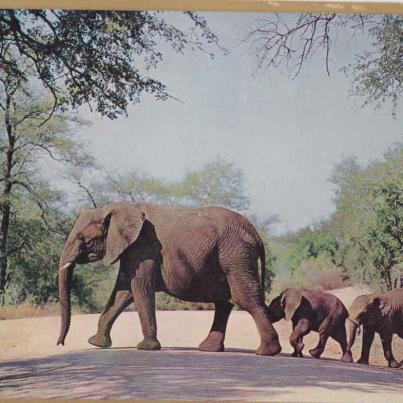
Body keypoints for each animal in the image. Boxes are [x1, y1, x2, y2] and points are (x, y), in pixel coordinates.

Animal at [56, 202, 282, 356]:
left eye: (82, 239)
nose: (60, 344)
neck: (116, 207)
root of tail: (256, 234)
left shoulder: (145, 247)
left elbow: (139, 287)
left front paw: (146, 348)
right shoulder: (131, 250)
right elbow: (123, 291)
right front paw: (95, 343)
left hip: (236, 256)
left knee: (245, 299)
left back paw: (267, 352)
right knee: (224, 303)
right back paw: (208, 349)